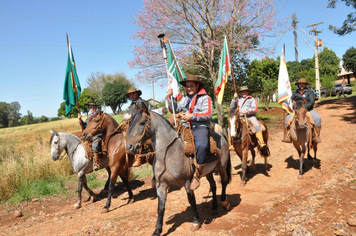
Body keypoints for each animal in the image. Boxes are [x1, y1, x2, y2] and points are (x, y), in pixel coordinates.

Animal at [125, 103, 231, 236]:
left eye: (142, 122)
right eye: (130, 123)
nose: (129, 147)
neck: (169, 154)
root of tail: (221, 135)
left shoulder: (187, 182)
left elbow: (191, 200)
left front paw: (196, 222)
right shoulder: (161, 185)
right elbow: (160, 207)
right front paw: (157, 230)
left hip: (221, 166)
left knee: (224, 181)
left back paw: (224, 202)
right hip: (209, 171)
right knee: (213, 185)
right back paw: (214, 207)